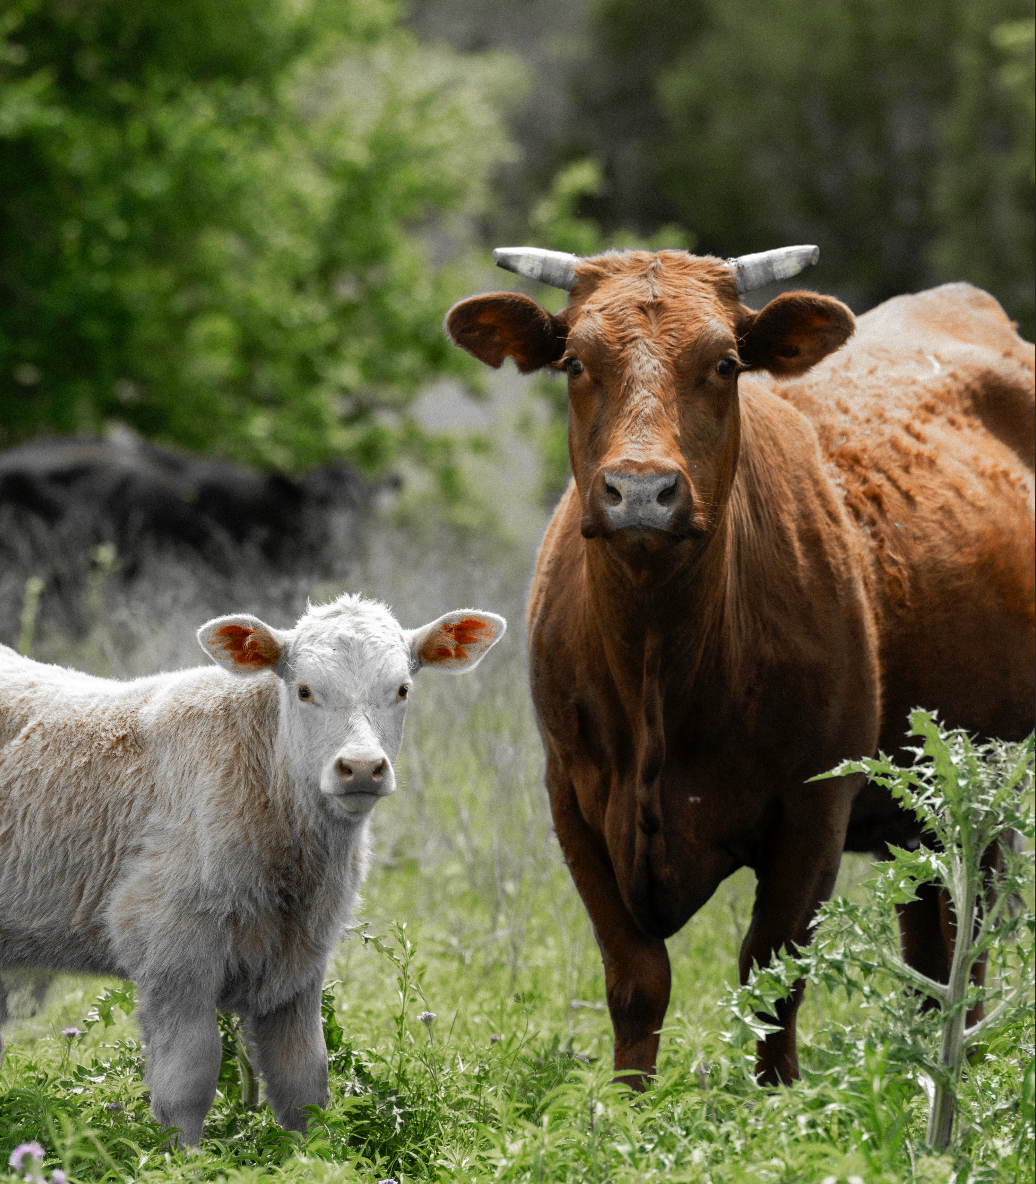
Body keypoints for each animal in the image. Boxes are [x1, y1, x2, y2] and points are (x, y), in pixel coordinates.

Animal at [0, 596, 502, 1141]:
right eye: (304, 690)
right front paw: (186, 1157)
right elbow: (187, 1082)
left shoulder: (302, 959)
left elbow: (303, 1080)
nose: (362, 767)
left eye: (403, 689)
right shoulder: (169, 945)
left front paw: (309, 1153)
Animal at [447, 247, 1036, 1084]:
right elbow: (636, 980)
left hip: (980, 789)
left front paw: (777, 1098)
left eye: (725, 363)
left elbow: (772, 976)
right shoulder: (573, 801)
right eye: (575, 362)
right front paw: (628, 1104)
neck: (660, 664)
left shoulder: (813, 812)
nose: (640, 492)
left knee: (969, 935)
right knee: (931, 942)